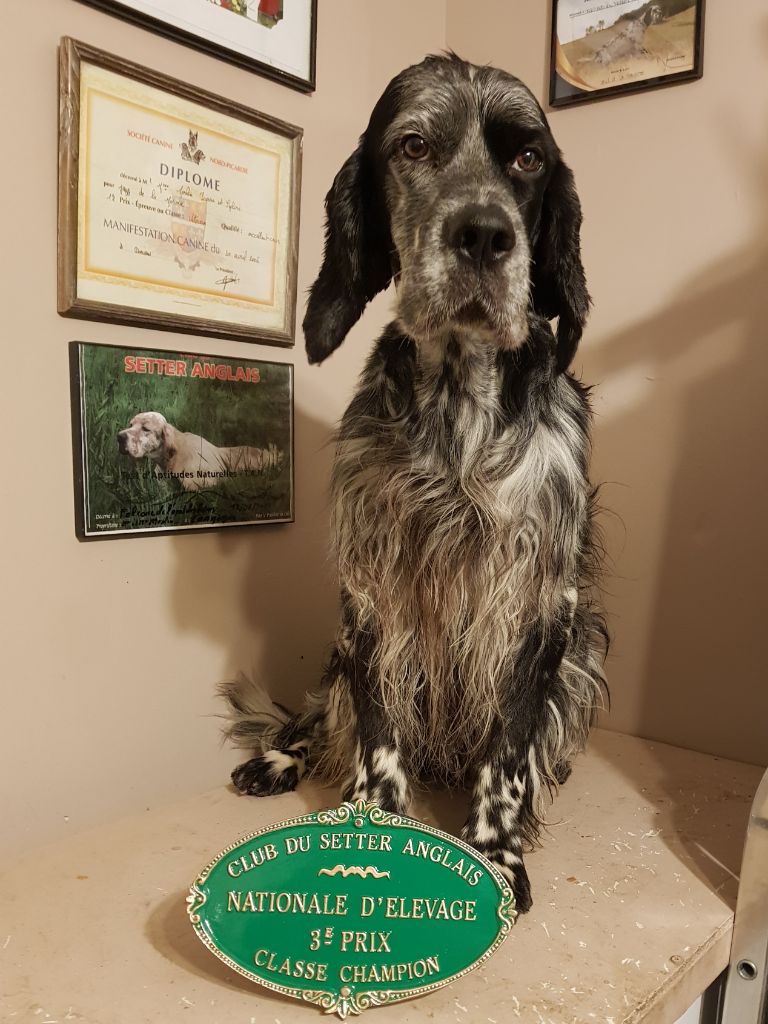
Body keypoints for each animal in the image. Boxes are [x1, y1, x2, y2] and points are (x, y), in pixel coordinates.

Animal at [221, 54, 606, 913]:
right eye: (414, 146)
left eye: (527, 158)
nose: (485, 235)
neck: (459, 402)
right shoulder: (372, 586)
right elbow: (374, 726)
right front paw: (371, 821)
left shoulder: (542, 599)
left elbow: (508, 747)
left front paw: (494, 848)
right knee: (312, 718)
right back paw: (275, 759)